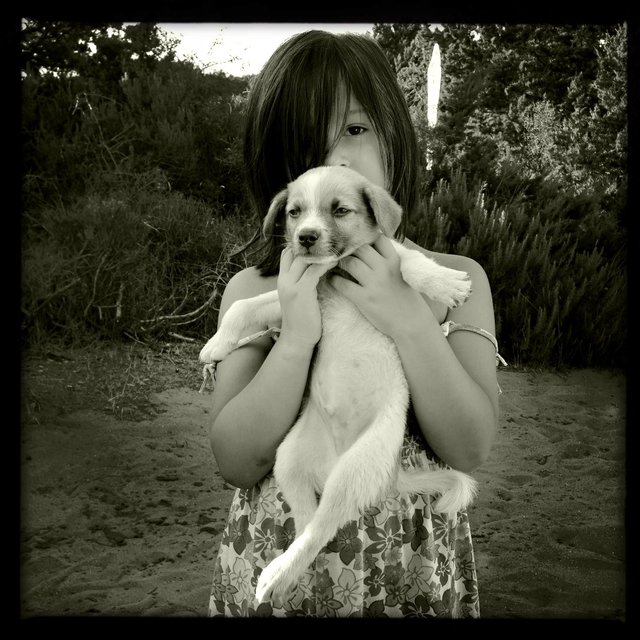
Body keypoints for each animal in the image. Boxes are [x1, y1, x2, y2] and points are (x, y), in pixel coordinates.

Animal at [200, 165, 476, 604]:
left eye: (340, 210)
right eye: (294, 212)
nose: (305, 237)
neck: (332, 271)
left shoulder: (385, 257)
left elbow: (410, 261)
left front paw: (446, 282)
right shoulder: (292, 298)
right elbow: (243, 307)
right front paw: (216, 344)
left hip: (355, 467)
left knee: (322, 526)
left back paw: (279, 574)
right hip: (288, 460)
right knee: (310, 526)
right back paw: (284, 572)